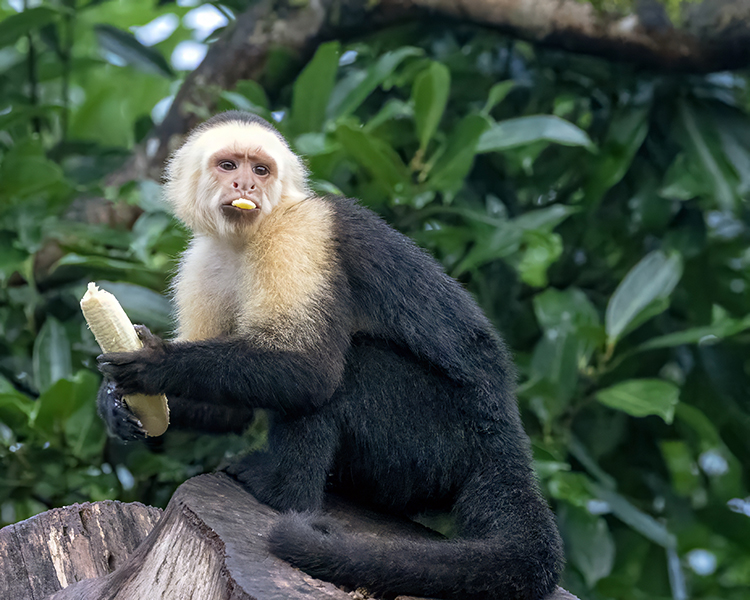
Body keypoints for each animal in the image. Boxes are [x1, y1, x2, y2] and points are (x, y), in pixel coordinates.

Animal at [97, 110, 564, 600]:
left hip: (444, 439)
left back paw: (282, 492)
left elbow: (309, 373)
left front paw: (154, 364)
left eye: (261, 170)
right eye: (228, 166)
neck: (249, 236)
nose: (246, 186)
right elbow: (229, 413)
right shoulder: (201, 261)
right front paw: (114, 401)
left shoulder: (298, 236)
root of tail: (504, 439)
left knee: (347, 373)